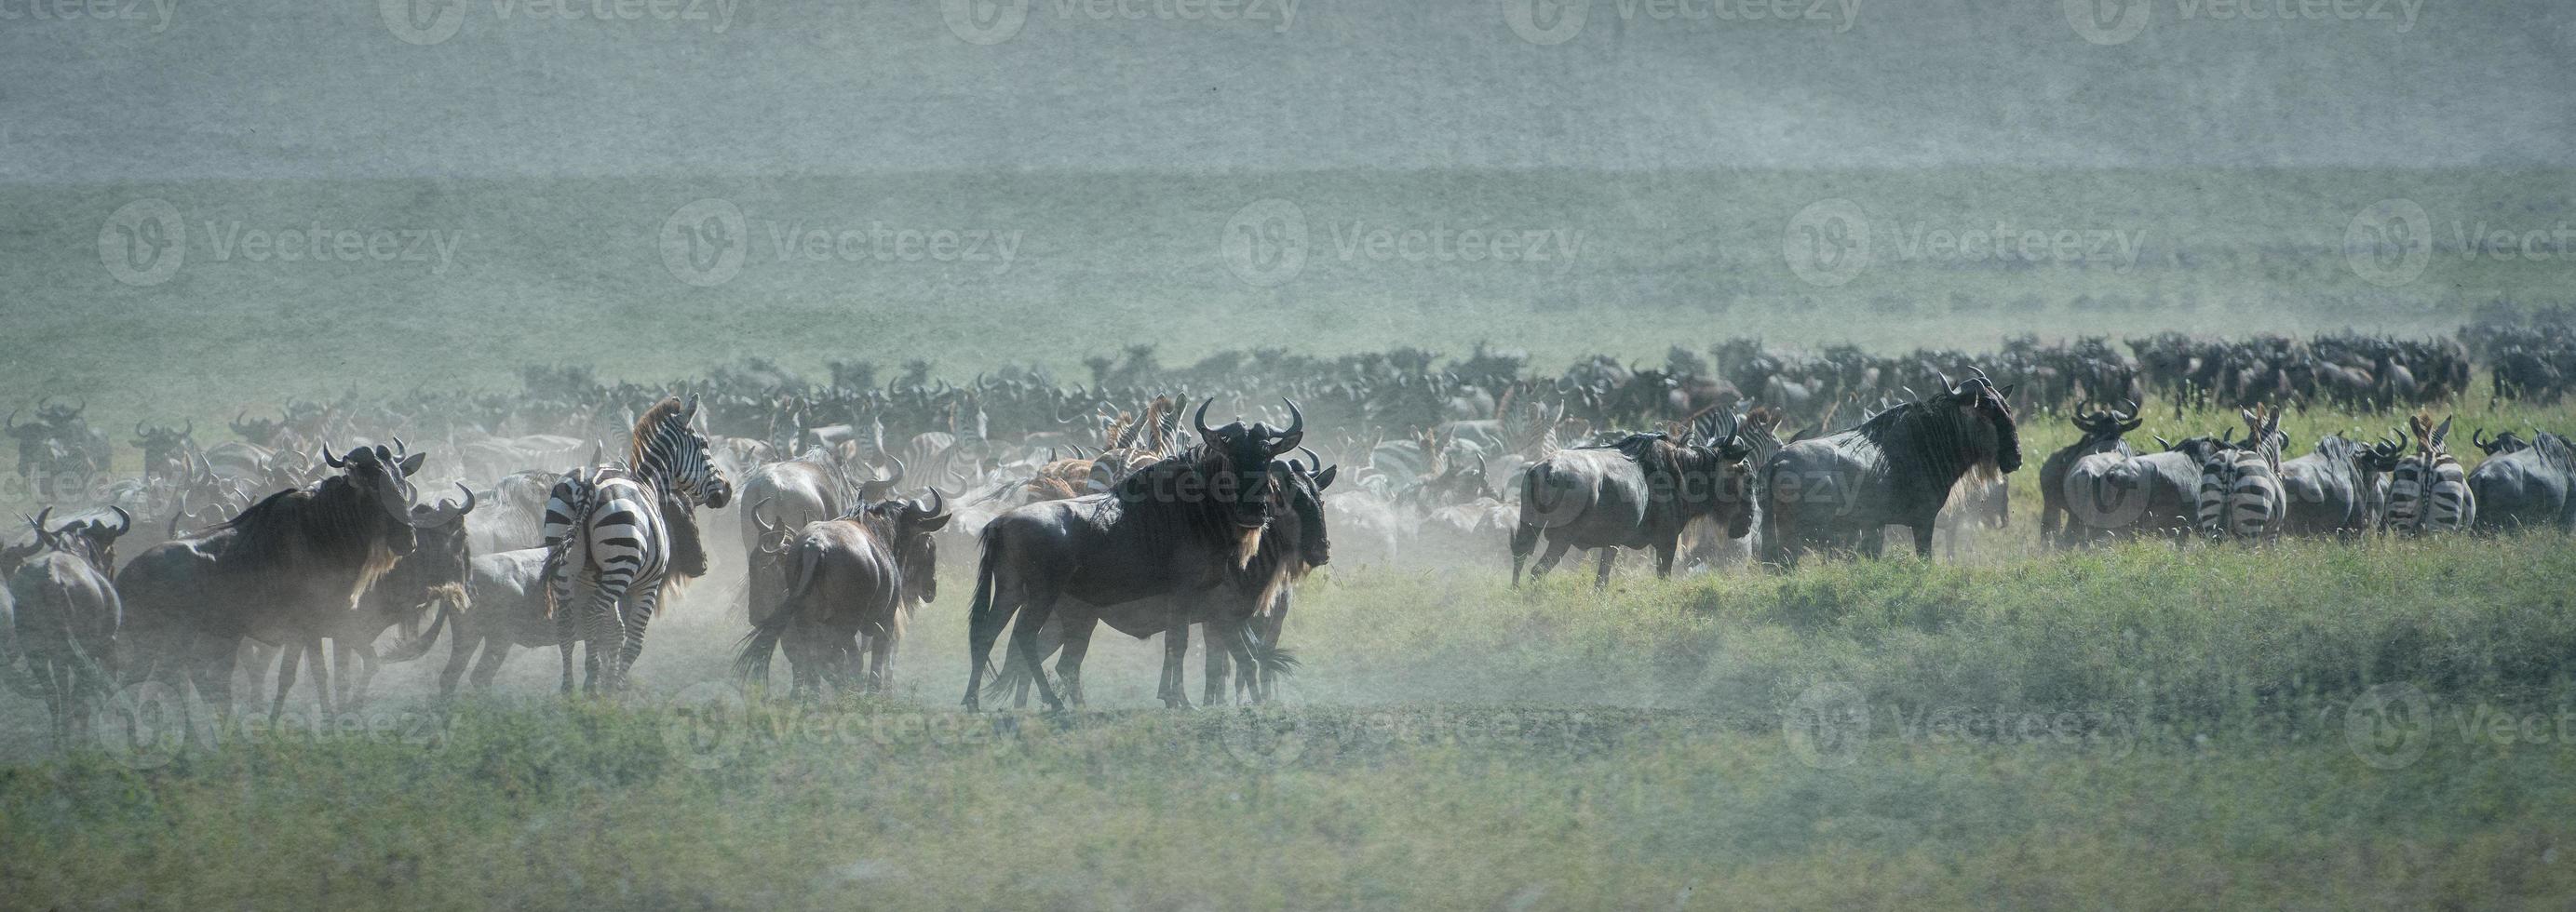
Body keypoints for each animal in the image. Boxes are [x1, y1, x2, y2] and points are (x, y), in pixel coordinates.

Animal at [541, 394, 731, 690]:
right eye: (704, 446)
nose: (727, 491)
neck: (650, 484)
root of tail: (588, 484)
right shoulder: (647, 584)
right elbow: (634, 640)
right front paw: (616, 687)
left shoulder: (593, 579)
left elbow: (612, 632)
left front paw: (607, 677)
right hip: (620, 568)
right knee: (591, 614)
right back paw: (591, 684)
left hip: (566, 564)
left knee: (568, 623)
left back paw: (570, 687)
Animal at [2194, 407, 2298, 541]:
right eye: (2279, 441)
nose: (2281, 475)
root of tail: (2230, 464)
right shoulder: (2273, 530)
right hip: (2251, 521)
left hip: (2209, 514)